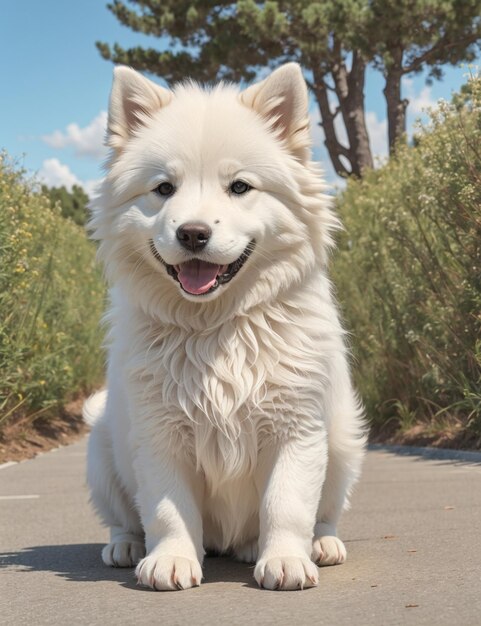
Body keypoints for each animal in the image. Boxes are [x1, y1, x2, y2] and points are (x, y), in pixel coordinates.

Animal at [84, 63, 366, 588]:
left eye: (240, 187)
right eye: (163, 189)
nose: (192, 233)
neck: (216, 327)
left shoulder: (298, 427)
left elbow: (287, 502)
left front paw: (286, 560)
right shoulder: (158, 431)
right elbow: (168, 508)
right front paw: (171, 560)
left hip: (343, 442)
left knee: (325, 511)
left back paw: (318, 544)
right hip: (102, 452)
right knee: (123, 516)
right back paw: (126, 545)